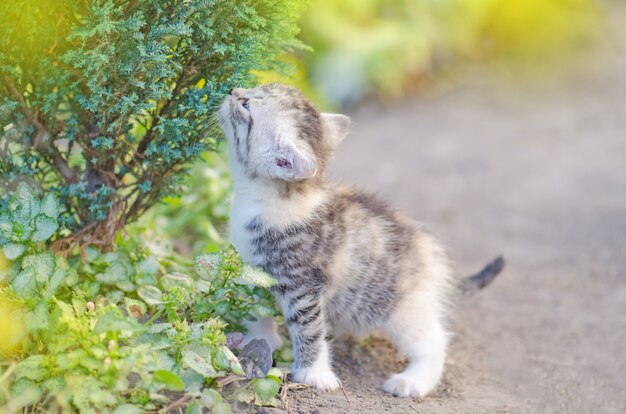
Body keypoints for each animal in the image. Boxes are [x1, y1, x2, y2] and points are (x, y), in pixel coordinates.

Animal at [217, 83, 500, 398]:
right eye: (257, 89)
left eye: (247, 106)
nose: (232, 91)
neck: (272, 199)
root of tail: (432, 258)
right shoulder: (255, 271)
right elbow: (256, 309)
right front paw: (259, 338)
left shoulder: (304, 286)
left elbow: (309, 329)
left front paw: (314, 374)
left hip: (400, 308)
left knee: (433, 341)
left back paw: (413, 380)